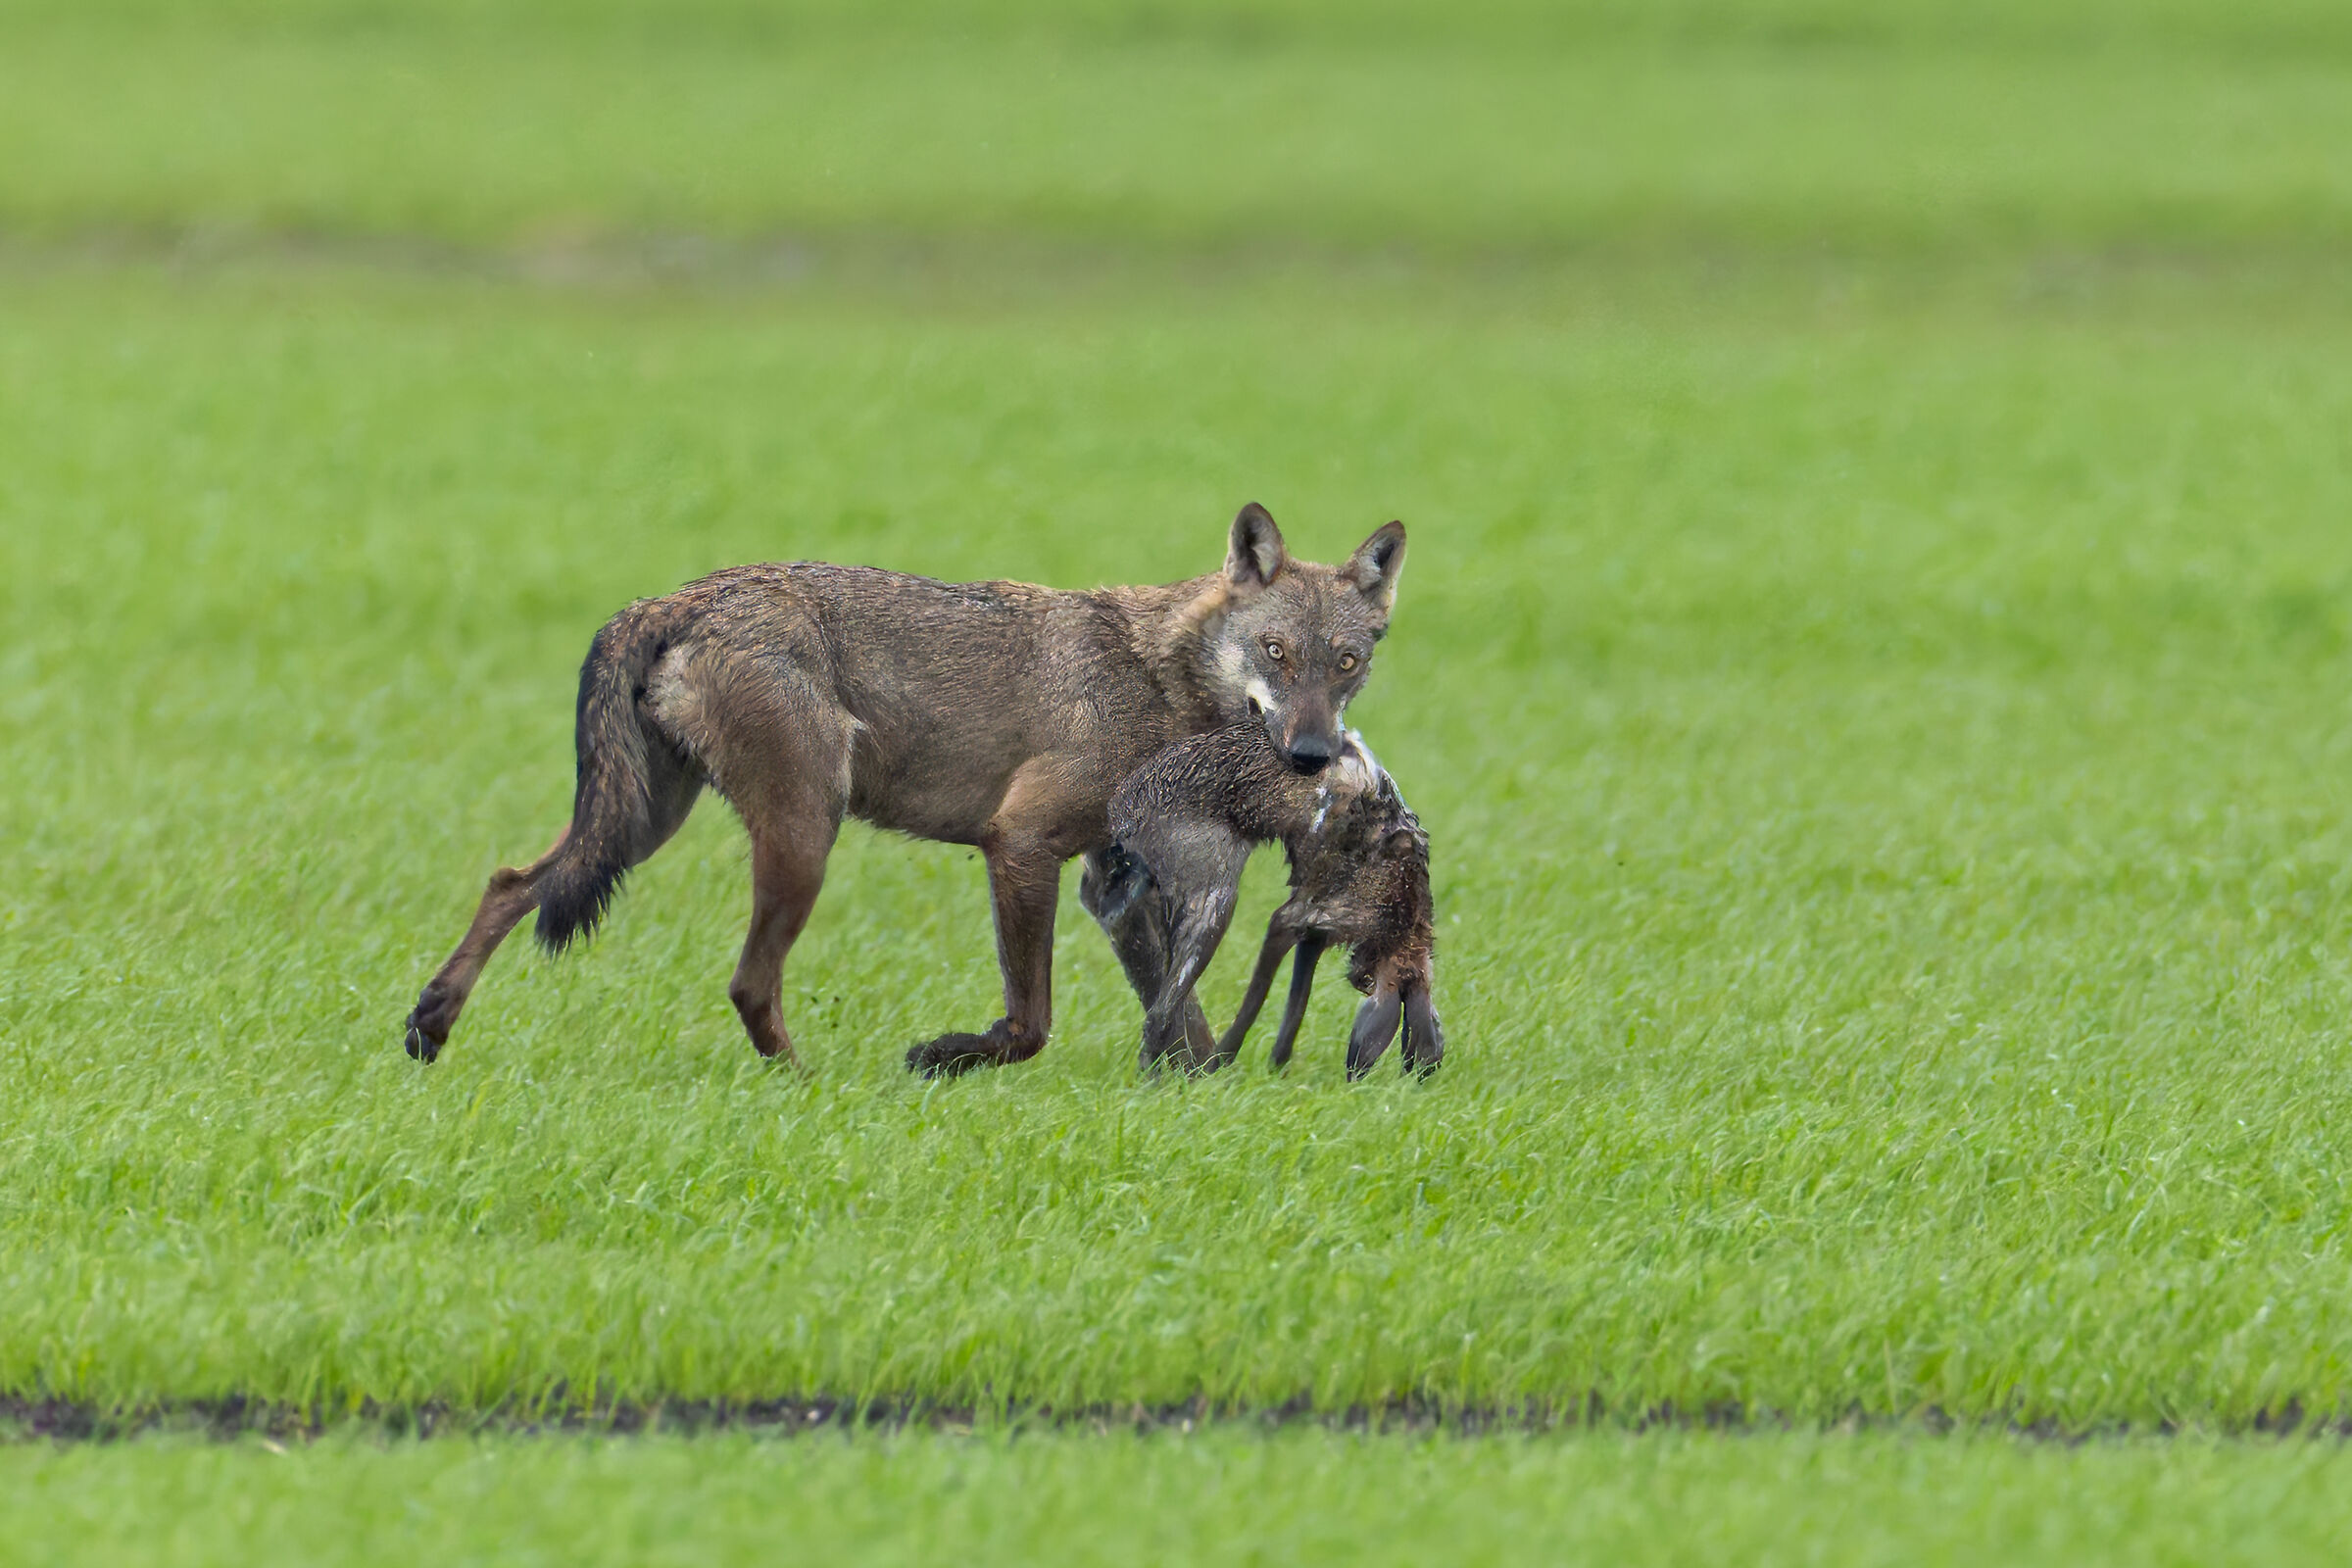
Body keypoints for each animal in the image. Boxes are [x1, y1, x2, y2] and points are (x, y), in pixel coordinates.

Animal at [400, 504, 1408, 1077]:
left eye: (1347, 663)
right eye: (1276, 654)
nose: (1312, 754)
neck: (1158, 678)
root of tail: (674, 598)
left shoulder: (1104, 881)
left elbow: (1176, 1010)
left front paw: (1207, 1091)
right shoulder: (1022, 844)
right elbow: (1031, 1022)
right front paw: (943, 1057)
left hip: (641, 826)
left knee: (509, 885)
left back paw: (428, 1027)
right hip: (801, 836)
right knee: (748, 984)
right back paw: (808, 1087)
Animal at [1102, 724, 1440, 1079]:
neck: (1404, 909)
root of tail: (1123, 811)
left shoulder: (1315, 934)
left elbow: (1297, 1001)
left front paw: (1277, 1066)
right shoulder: (1295, 918)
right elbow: (1261, 994)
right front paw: (1222, 1062)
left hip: (1158, 884)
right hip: (1214, 900)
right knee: (1159, 1012)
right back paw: (1157, 1075)